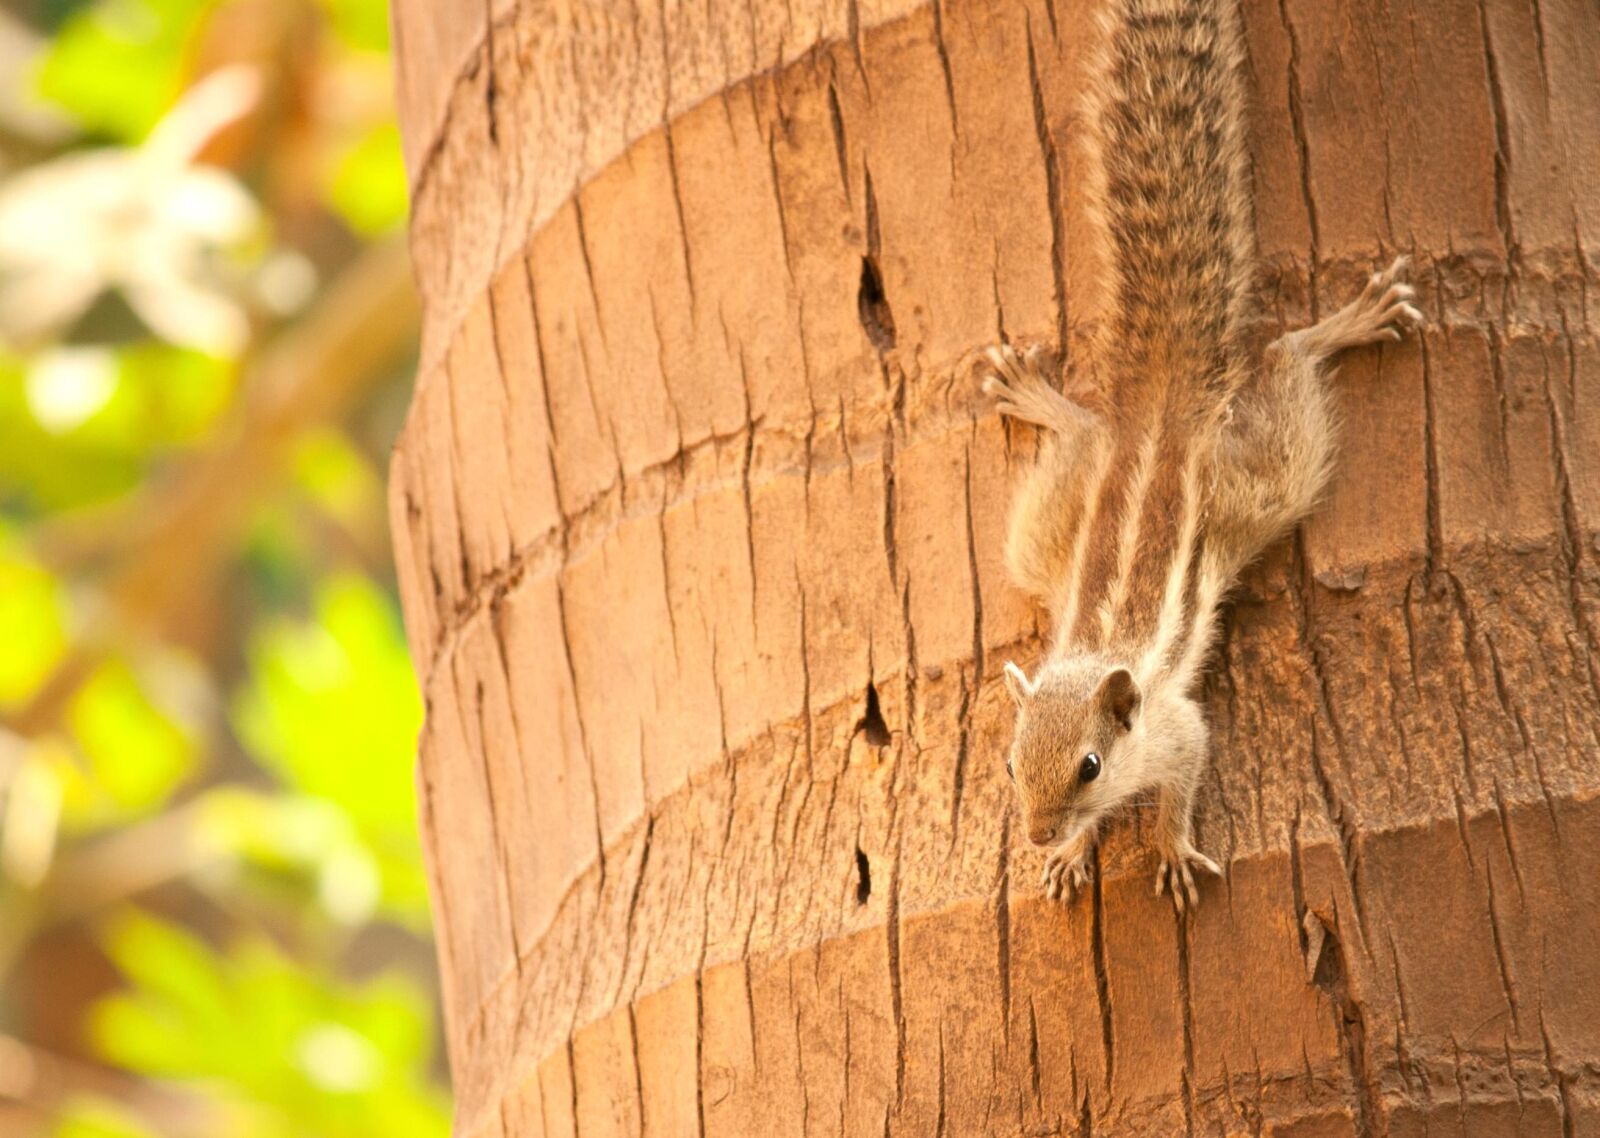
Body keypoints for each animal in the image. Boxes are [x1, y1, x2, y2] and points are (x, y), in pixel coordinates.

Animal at [983, 0, 1422, 909]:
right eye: (1009, 762)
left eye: (1088, 766)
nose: (1036, 831)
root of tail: (1160, 411)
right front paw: (1069, 856)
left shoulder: (1179, 730)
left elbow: (1180, 786)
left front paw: (1171, 848)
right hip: (1054, 510)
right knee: (1077, 431)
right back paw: (1034, 394)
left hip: (1258, 486)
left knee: (1289, 356)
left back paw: (1350, 322)